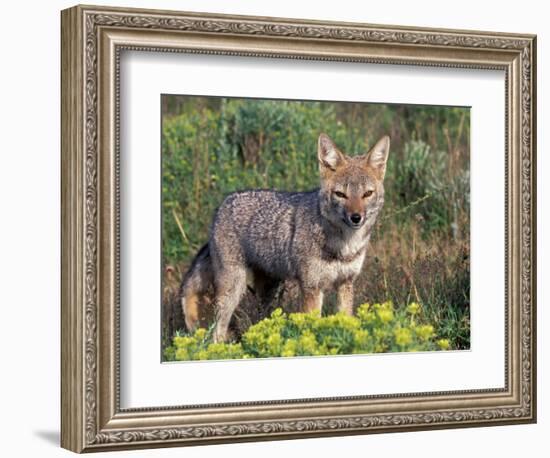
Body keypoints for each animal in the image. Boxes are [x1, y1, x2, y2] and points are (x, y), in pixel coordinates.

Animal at [179, 131, 390, 342]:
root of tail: (222, 205)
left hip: (269, 291)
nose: (356, 217)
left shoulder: (345, 283)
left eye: (367, 194)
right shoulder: (312, 287)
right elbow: (313, 325)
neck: (344, 245)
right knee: (217, 331)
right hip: (233, 289)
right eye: (340, 194)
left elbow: (347, 320)